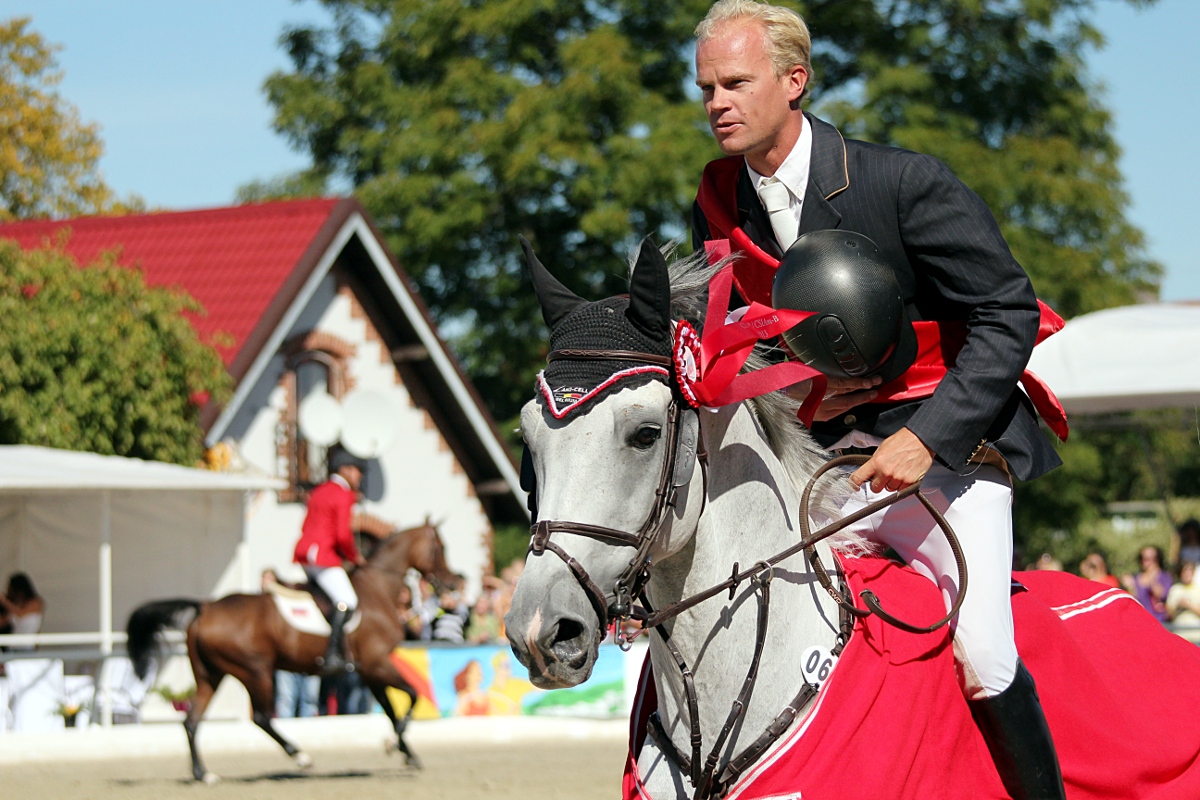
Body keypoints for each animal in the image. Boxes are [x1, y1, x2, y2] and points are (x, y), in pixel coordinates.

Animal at [126, 522, 453, 786]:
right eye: (440, 548)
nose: (451, 583)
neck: (378, 589)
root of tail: (205, 608)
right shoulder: (377, 665)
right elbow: (412, 695)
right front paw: (392, 744)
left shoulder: (369, 672)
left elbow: (391, 710)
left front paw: (407, 753)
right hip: (255, 671)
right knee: (261, 717)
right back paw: (300, 756)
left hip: (211, 675)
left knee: (192, 721)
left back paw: (203, 774)